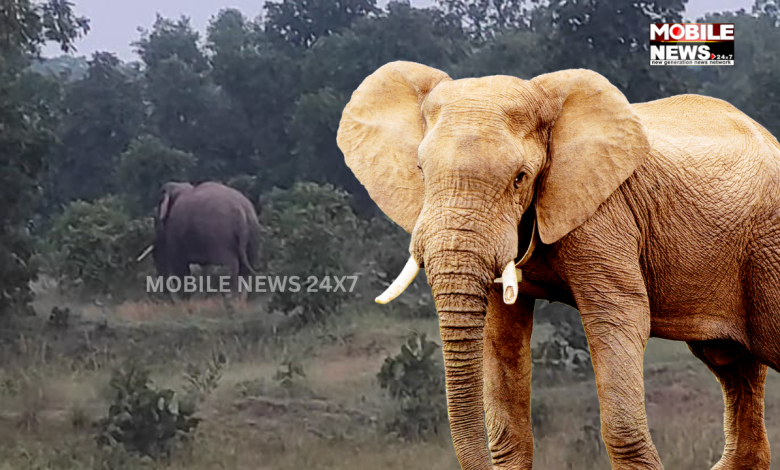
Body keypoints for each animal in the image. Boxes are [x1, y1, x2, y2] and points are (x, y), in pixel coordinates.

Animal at [338, 60, 780, 468]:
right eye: (421, 172)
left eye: (520, 178)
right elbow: (502, 335)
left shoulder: (605, 213)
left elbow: (619, 318)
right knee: (732, 366)